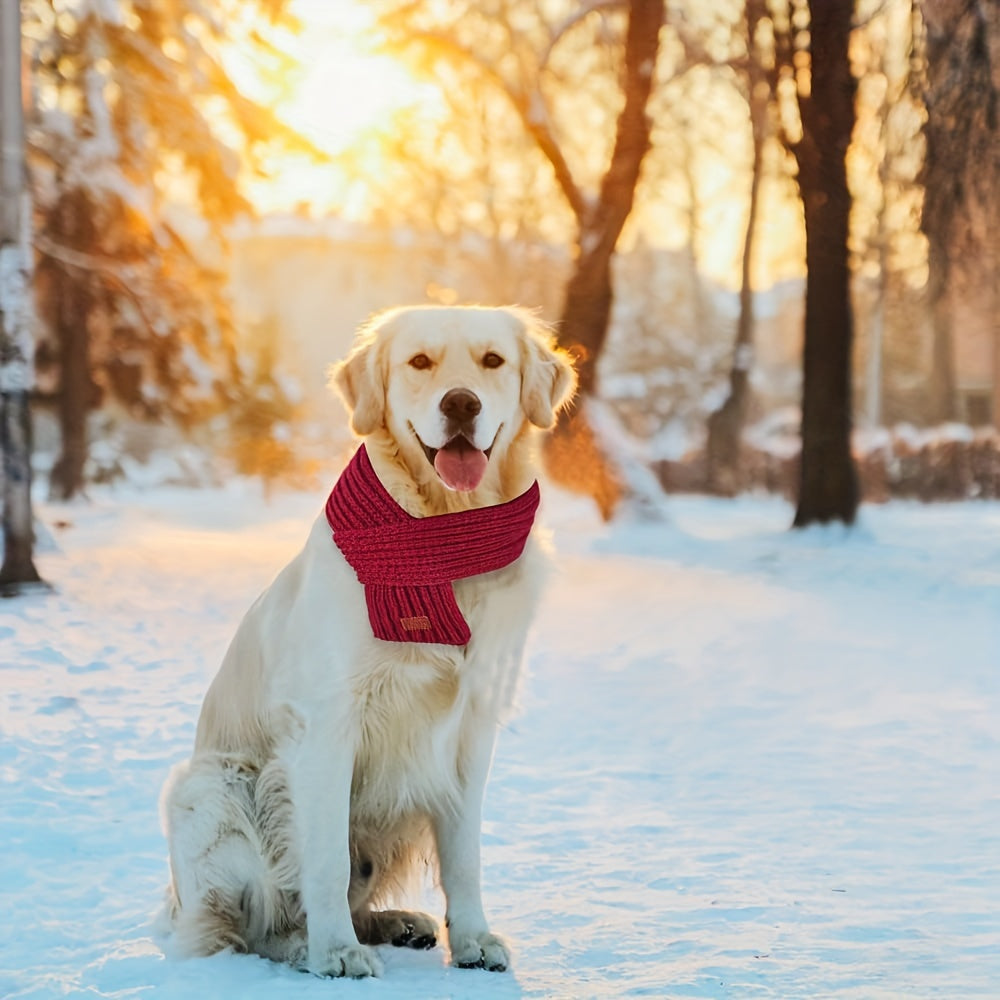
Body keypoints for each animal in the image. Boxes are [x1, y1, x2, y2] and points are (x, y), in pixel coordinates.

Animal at [161, 302, 576, 976]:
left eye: (492, 361)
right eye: (419, 362)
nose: (461, 404)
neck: (442, 535)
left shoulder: (470, 728)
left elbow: (465, 854)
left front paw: (473, 938)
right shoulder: (326, 725)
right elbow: (326, 858)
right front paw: (334, 951)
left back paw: (396, 922)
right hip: (212, 789)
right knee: (244, 929)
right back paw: (305, 944)